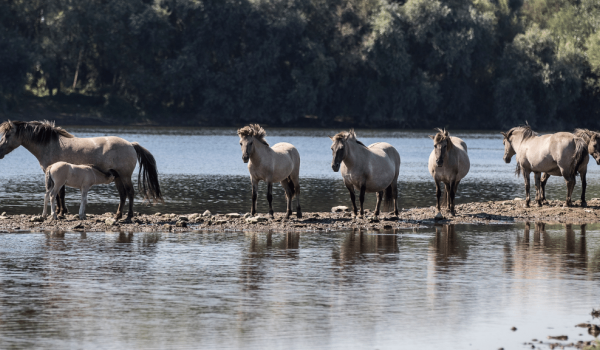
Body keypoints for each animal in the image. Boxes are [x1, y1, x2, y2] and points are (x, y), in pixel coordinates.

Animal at [0, 120, 163, 219]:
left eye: (7, 134)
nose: (0, 151)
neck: (50, 144)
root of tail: (131, 144)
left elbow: (60, 194)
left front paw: (60, 213)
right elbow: (59, 195)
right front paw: (59, 212)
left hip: (125, 176)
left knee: (130, 192)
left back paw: (128, 216)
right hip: (117, 177)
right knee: (122, 194)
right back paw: (117, 215)